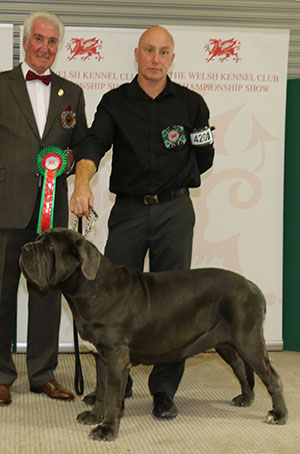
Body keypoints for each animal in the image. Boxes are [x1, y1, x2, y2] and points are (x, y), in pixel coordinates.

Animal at [19, 227, 288, 440]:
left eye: (50, 245)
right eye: (39, 238)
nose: (25, 248)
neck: (91, 289)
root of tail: (252, 286)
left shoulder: (116, 357)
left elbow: (113, 394)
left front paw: (107, 429)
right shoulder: (101, 357)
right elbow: (102, 390)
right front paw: (95, 416)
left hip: (248, 340)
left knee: (272, 376)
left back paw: (278, 415)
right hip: (227, 343)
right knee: (241, 368)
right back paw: (246, 399)